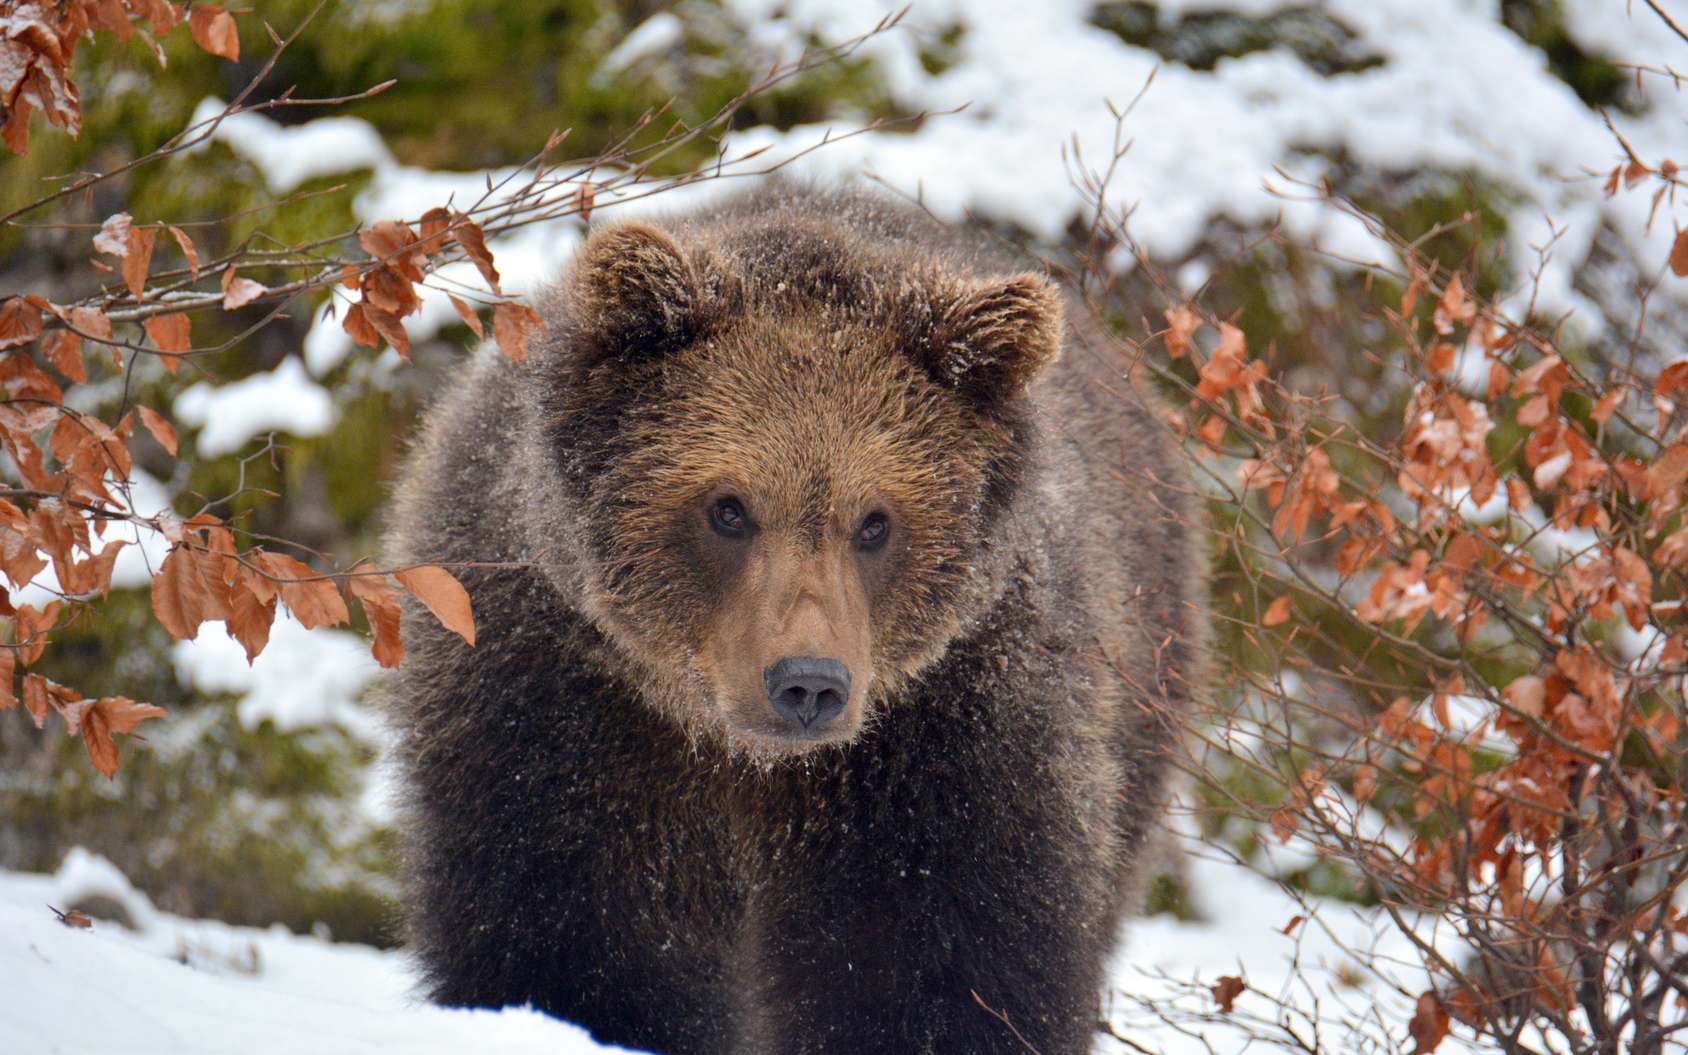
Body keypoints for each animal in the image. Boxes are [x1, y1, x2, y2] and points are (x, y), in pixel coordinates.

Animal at [386, 183, 1201, 1053]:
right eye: (728, 507)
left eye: (875, 521)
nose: (807, 683)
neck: (741, 755)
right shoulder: (562, 707)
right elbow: (572, 931)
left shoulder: (948, 735)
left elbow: (939, 964)